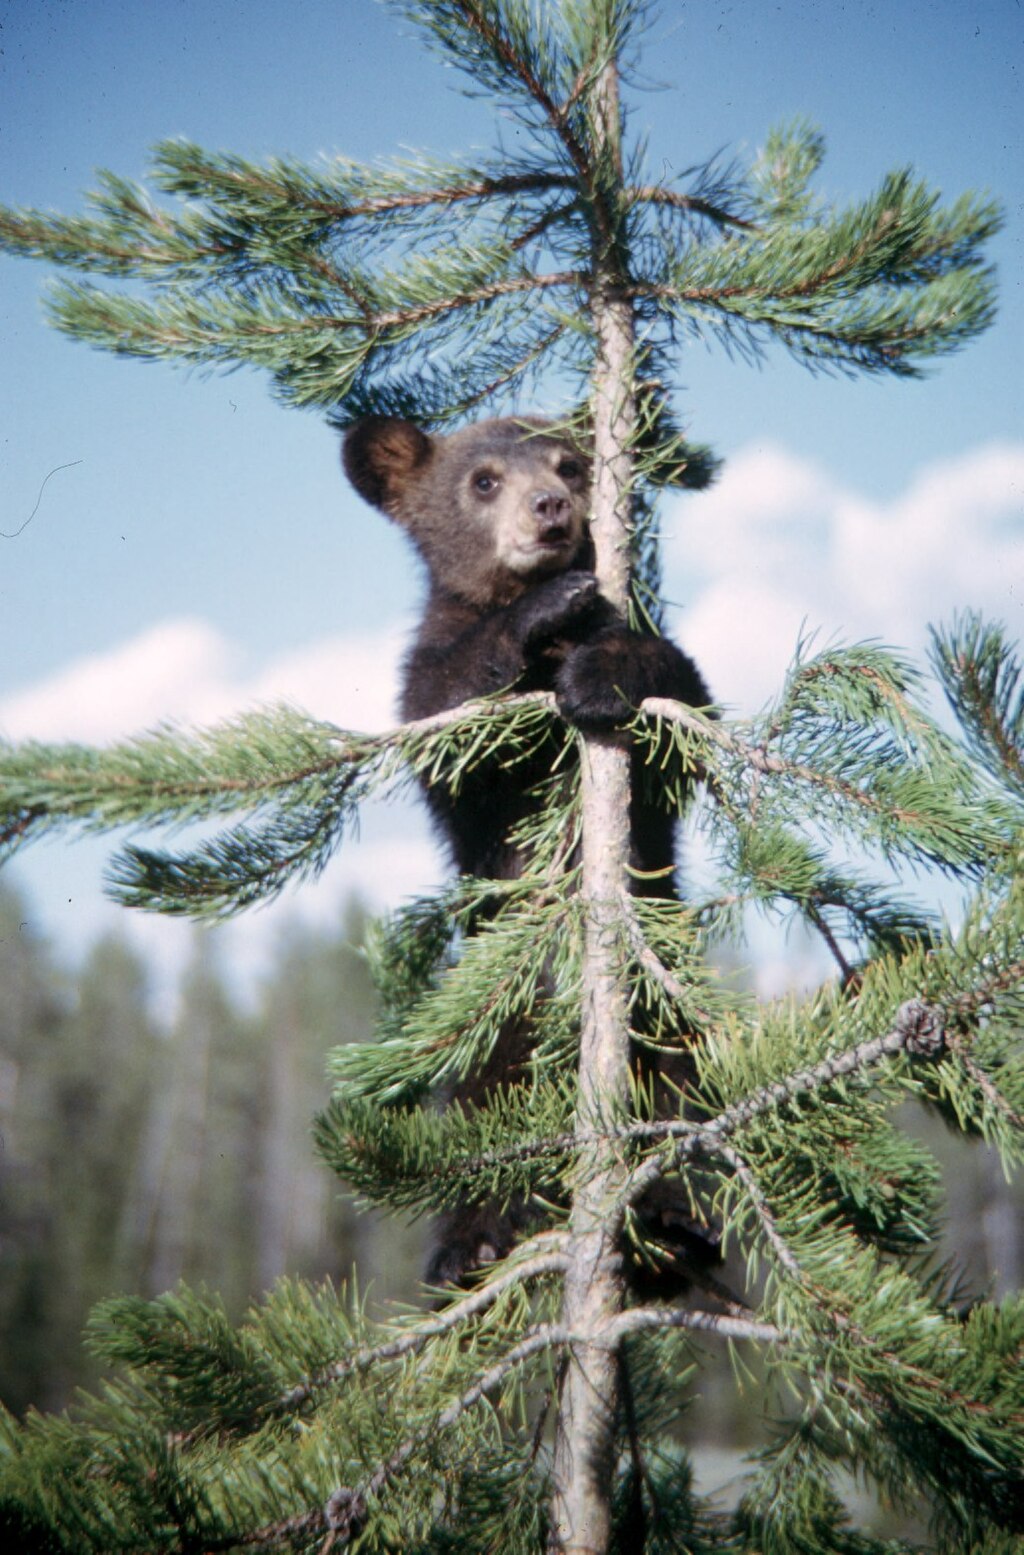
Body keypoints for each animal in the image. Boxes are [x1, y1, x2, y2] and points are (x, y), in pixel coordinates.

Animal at [342, 414, 712, 1284]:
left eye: (568, 464)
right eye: (483, 480)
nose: (549, 506)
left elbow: (685, 707)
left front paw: (601, 671)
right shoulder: (430, 686)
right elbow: (441, 723)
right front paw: (545, 606)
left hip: (659, 1002)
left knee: (675, 1094)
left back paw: (672, 1219)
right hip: (489, 1022)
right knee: (475, 1123)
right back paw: (466, 1245)